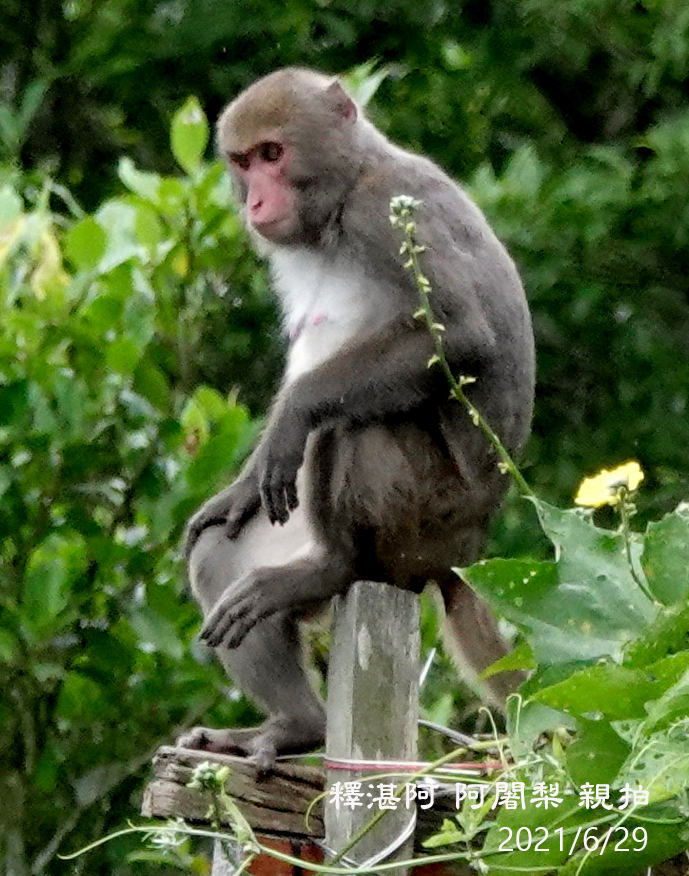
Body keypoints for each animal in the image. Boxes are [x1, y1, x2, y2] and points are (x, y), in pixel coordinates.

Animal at [177, 68, 532, 768]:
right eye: (243, 161)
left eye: (274, 155)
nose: (255, 203)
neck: (341, 199)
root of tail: (466, 554)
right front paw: (239, 488)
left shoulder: (383, 211)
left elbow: (459, 336)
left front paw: (294, 413)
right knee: (220, 555)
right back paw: (298, 724)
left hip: (425, 526)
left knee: (355, 424)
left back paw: (332, 564)